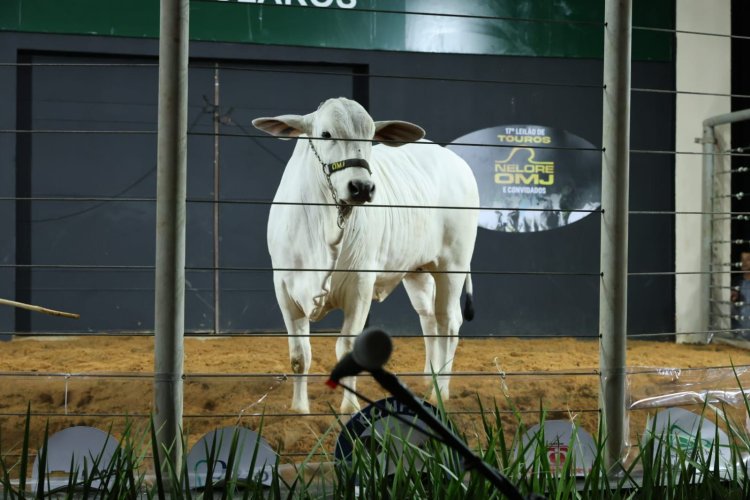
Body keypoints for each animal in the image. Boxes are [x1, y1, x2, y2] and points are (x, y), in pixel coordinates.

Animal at [254, 97, 482, 414]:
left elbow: (347, 349)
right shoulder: (285, 288)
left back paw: (441, 393)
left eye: (371, 136)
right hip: (418, 272)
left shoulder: (360, 285)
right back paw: (430, 379)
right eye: (326, 134)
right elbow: (299, 355)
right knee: (429, 319)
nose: (361, 187)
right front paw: (299, 410)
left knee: (448, 321)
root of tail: (455, 161)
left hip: (453, 264)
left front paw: (349, 408)